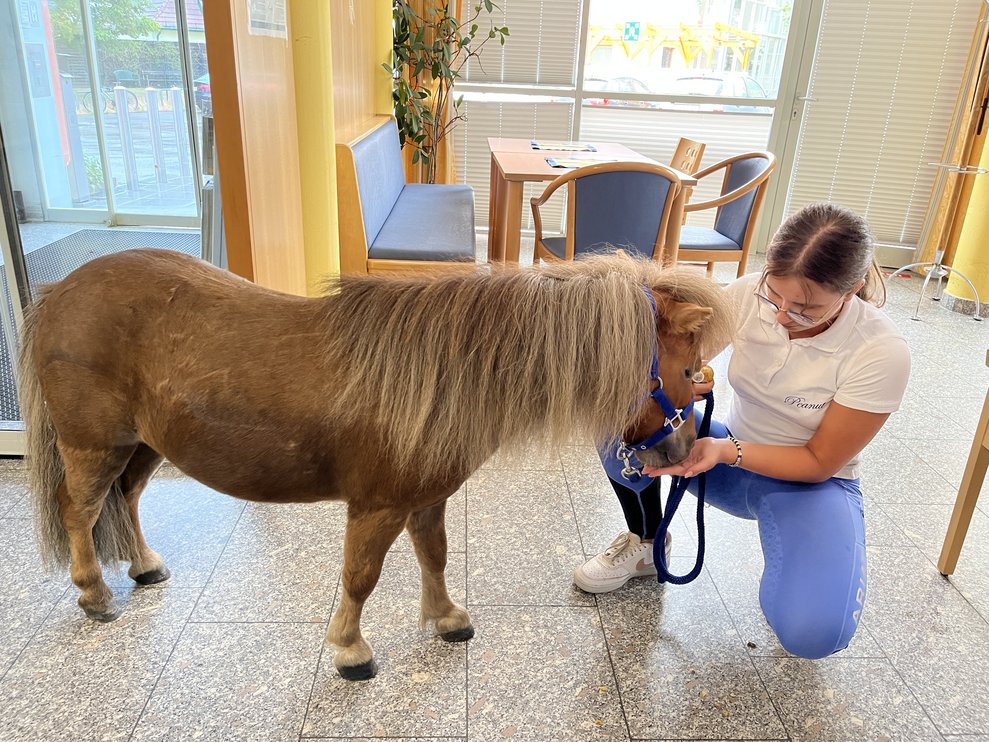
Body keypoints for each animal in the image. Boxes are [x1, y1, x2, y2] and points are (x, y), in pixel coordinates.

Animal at [18, 248, 732, 680]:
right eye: (686, 366)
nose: (680, 455)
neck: (442, 375)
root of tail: (59, 291)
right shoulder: (377, 506)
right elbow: (360, 578)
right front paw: (350, 650)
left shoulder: (426, 499)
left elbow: (433, 556)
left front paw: (446, 619)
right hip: (94, 446)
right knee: (79, 510)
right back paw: (95, 594)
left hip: (143, 446)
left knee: (126, 501)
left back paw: (143, 567)